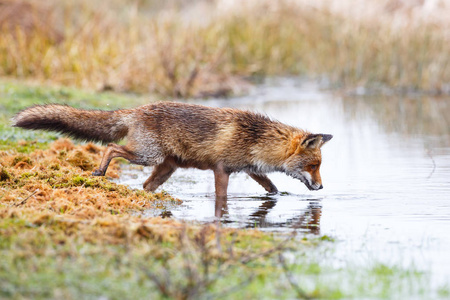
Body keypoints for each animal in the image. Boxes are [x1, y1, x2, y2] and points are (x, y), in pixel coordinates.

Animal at [12, 102, 332, 198]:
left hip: (165, 168)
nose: (321, 187)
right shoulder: (222, 170)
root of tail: (137, 109)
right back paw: (100, 170)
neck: (257, 139)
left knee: (145, 185)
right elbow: (221, 197)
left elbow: (272, 188)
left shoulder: (251, 171)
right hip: (147, 156)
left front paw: (280, 196)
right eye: (314, 166)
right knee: (113, 147)